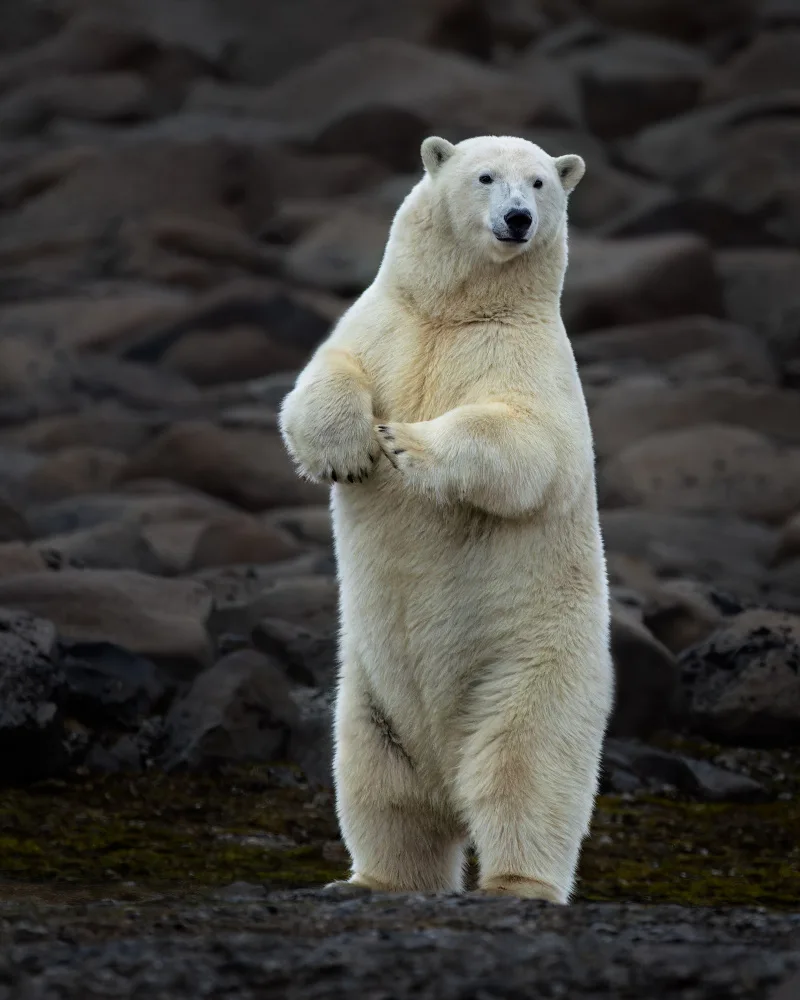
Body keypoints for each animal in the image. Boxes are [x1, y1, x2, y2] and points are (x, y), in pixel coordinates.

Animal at [279, 134, 613, 904]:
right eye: (485, 176)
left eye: (541, 182)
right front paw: (351, 450)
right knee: (379, 789)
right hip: (368, 700)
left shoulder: (527, 358)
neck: (456, 313)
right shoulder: (384, 324)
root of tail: (443, 768)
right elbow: (320, 379)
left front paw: (404, 442)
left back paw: (516, 884)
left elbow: (526, 443)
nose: (518, 219)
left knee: (525, 774)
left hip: (534, 668)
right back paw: (371, 879)